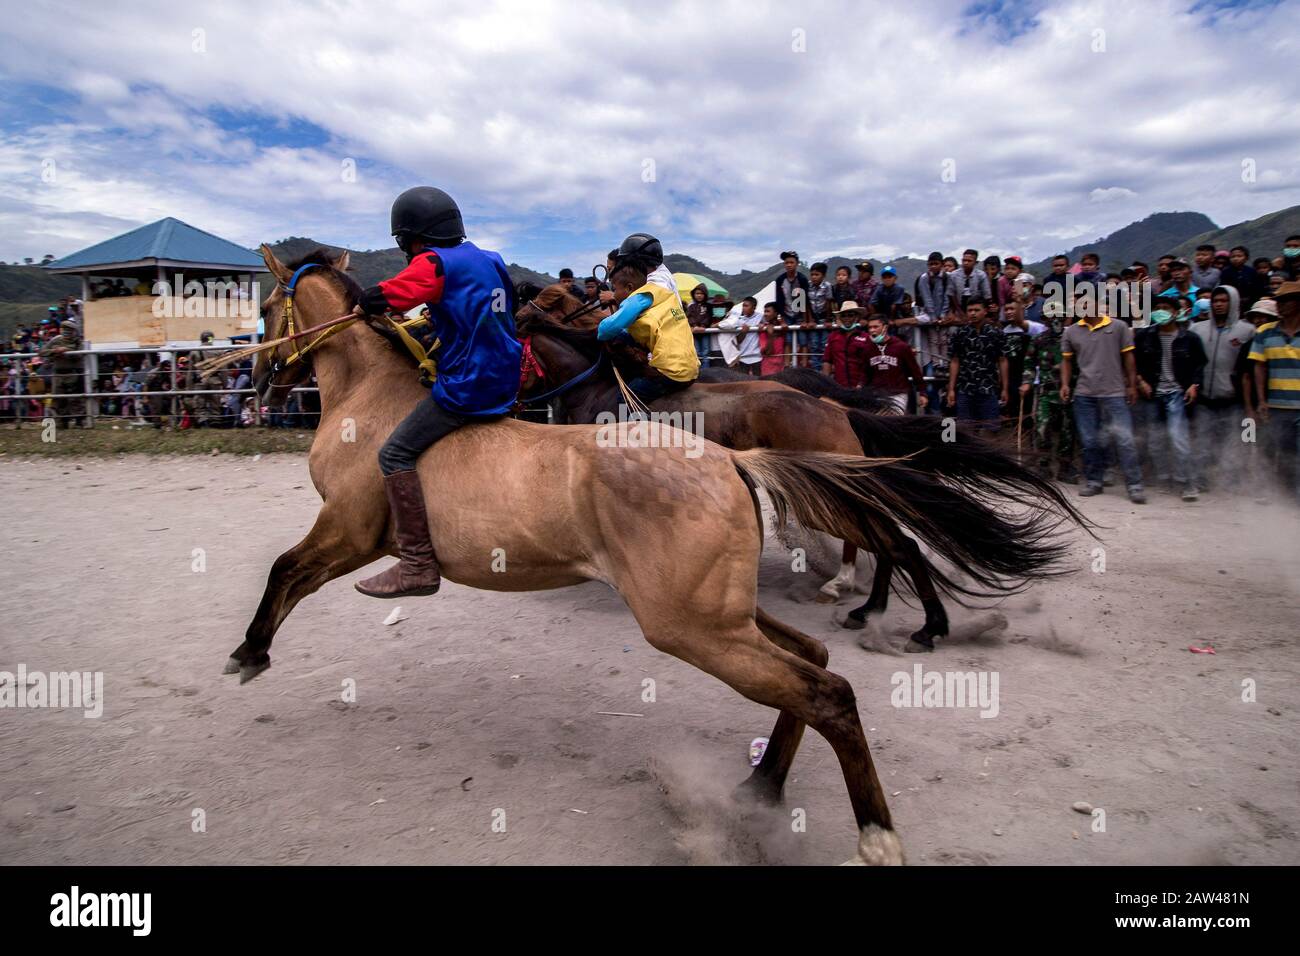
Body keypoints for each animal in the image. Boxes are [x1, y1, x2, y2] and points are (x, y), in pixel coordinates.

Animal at [231, 244, 956, 868]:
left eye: (266, 310)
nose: (258, 384)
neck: (372, 399)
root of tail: (735, 460)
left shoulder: (349, 531)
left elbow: (285, 569)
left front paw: (250, 651)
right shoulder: (350, 536)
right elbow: (290, 572)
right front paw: (254, 649)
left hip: (694, 626)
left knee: (831, 683)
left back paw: (876, 828)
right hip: (722, 615)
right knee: (815, 660)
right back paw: (762, 784)